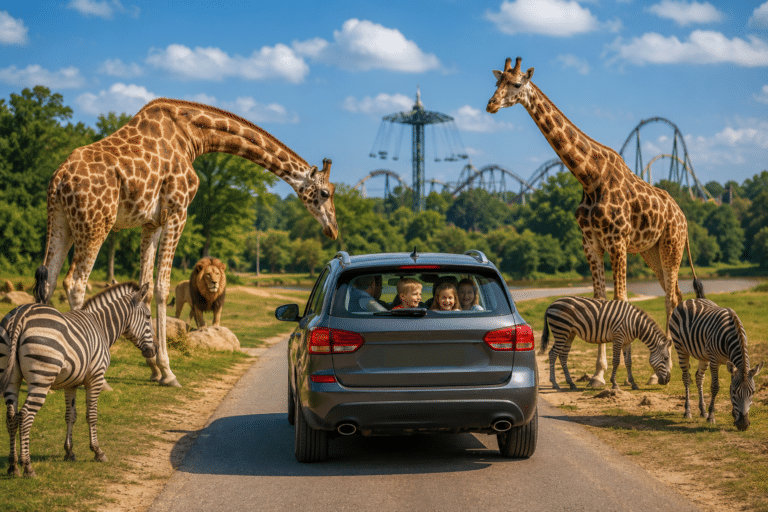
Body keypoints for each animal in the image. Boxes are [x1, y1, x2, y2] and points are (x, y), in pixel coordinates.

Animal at [1, 278, 156, 477]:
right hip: (41, 379)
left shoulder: (71, 383)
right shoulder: (95, 378)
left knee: (11, 417)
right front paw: (97, 451)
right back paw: (27, 466)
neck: (101, 326)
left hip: (11, 377)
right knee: (25, 416)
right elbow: (92, 415)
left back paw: (13, 466)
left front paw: (69, 452)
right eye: (148, 317)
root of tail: (21, 313)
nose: (154, 351)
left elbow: (70, 415)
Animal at [540, 296, 672, 391]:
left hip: (569, 334)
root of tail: (551, 304)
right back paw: (555, 384)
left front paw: (633, 384)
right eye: (666, 358)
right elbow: (616, 361)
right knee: (552, 354)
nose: (668, 380)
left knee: (563, 355)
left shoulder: (627, 342)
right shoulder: (618, 338)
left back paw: (571, 384)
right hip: (561, 331)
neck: (635, 324)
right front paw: (615, 384)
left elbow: (628, 362)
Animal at [669, 297, 764, 431]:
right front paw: (711, 417)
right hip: (680, 348)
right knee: (686, 378)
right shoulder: (714, 360)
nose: (743, 425)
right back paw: (688, 411)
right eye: (735, 392)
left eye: (753, 392)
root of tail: (690, 299)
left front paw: (733, 416)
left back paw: (703, 411)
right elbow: (715, 387)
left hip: (703, 356)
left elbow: (729, 384)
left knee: (699, 377)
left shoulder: (731, 364)